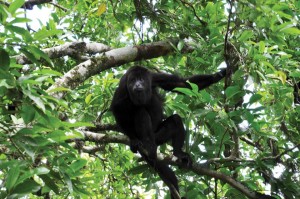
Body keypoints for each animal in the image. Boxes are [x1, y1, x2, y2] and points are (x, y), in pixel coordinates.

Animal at [111, 66, 226, 198]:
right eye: (133, 80)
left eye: (141, 79)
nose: (137, 84)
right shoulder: (123, 85)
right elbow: (116, 108)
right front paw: (133, 139)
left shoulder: (154, 77)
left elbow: (182, 84)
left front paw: (219, 75)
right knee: (140, 111)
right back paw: (148, 144)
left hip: (159, 136)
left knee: (176, 120)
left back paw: (178, 154)